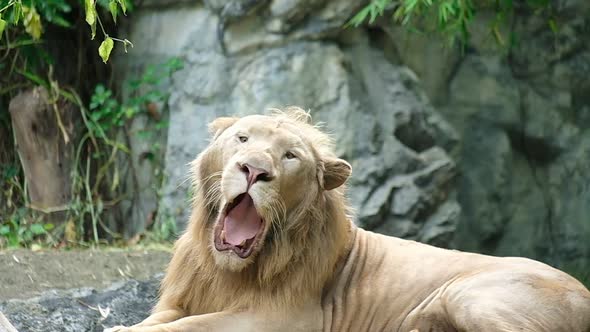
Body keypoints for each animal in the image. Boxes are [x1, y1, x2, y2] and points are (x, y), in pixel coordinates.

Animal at [105, 107, 590, 330]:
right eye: (242, 139)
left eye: (290, 156)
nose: (254, 169)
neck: (230, 270)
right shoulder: (180, 299)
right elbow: (160, 322)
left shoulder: (283, 319)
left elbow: (192, 326)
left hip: (471, 294)